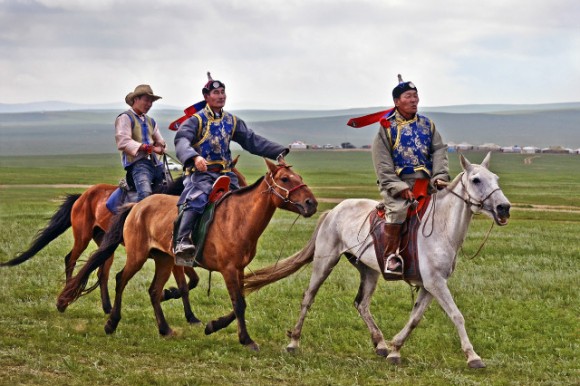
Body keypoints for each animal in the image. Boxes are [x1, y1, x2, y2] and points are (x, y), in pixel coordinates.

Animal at [57, 160, 318, 350]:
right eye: (285, 179)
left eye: (300, 178)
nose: (311, 203)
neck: (238, 217)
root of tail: (137, 206)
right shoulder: (227, 269)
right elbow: (238, 303)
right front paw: (246, 340)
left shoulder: (238, 269)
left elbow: (239, 302)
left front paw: (212, 325)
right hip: (136, 255)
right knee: (118, 278)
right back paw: (111, 322)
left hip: (163, 259)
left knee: (152, 290)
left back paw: (164, 328)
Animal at [242, 153, 510, 368]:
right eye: (476, 180)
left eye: (496, 179)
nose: (504, 208)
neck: (442, 228)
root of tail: (333, 211)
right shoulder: (435, 283)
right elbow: (456, 315)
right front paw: (473, 357)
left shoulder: (430, 285)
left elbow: (415, 318)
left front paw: (395, 349)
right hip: (324, 262)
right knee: (309, 297)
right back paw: (294, 342)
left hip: (369, 270)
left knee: (361, 304)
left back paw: (380, 343)